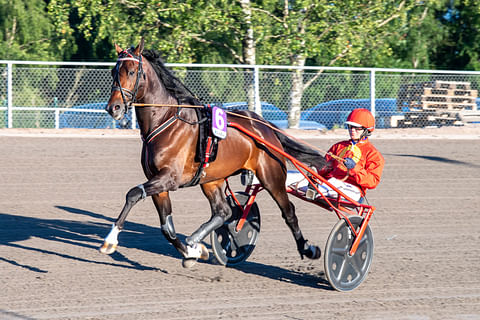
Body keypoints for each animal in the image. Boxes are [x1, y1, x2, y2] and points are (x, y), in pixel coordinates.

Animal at [101, 38, 326, 268]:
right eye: (113, 71)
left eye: (131, 71)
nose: (113, 108)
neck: (166, 119)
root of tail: (264, 126)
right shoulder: (158, 182)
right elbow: (167, 228)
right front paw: (191, 252)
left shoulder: (169, 179)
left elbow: (133, 193)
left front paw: (110, 240)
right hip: (212, 179)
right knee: (224, 211)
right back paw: (196, 240)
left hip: (272, 176)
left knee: (288, 212)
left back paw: (308, 249)